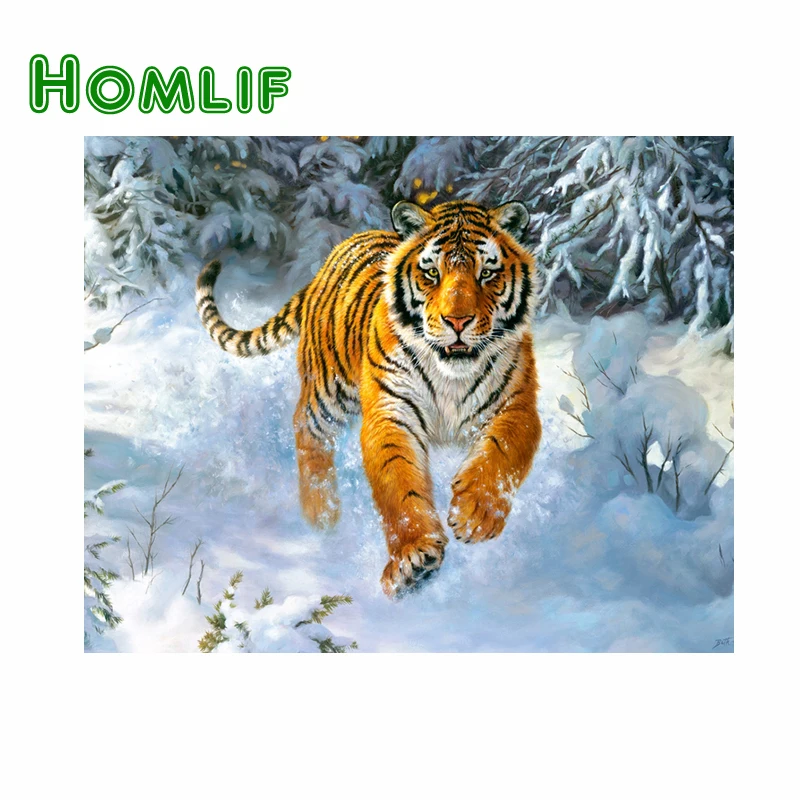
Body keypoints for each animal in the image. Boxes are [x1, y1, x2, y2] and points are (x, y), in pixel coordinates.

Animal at [196, 200, 542, 597]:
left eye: (487, 273)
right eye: (432, 273)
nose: (457, 321)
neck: (451, 375)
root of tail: (330, 260)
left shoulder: (517, 405)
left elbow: (501, 455)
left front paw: (475, 514)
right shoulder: (391, 411)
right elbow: (399, 485)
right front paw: (413, 560)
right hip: (327, 390)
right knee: (306, 429)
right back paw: (321, 516)